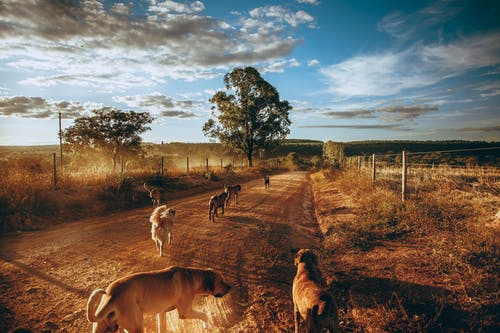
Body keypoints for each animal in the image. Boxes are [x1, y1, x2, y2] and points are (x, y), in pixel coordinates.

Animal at [87, 264, 231, 332]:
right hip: (137, 326)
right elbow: (204, 315)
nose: (230, 287)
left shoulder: (161, 312)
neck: (191, 276)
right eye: (221, 281)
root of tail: (111, 295)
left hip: (101, 327)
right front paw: (208, 326)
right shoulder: (185, 312)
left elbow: (162, 328)